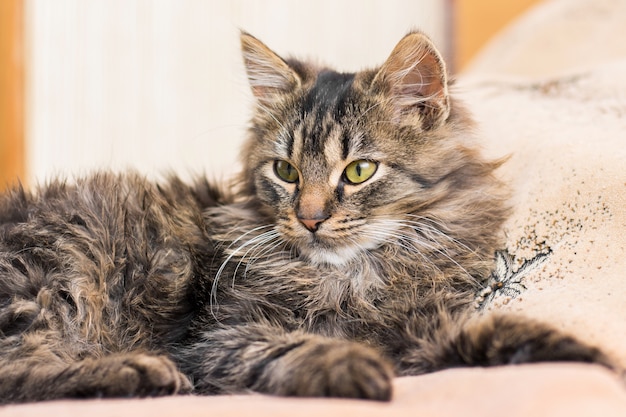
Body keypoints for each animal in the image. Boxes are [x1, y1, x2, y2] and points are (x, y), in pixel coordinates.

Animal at [0, 30, 608, 404]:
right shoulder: (216, 337)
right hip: (62, 280)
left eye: (359, 171)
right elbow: (291, 348)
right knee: (20, 373)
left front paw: (583, 353)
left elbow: (487, 334)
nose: (311, 218)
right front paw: (354, 364)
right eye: (286, 171)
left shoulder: (421, 329)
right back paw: (138, 374)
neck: (354, 276)